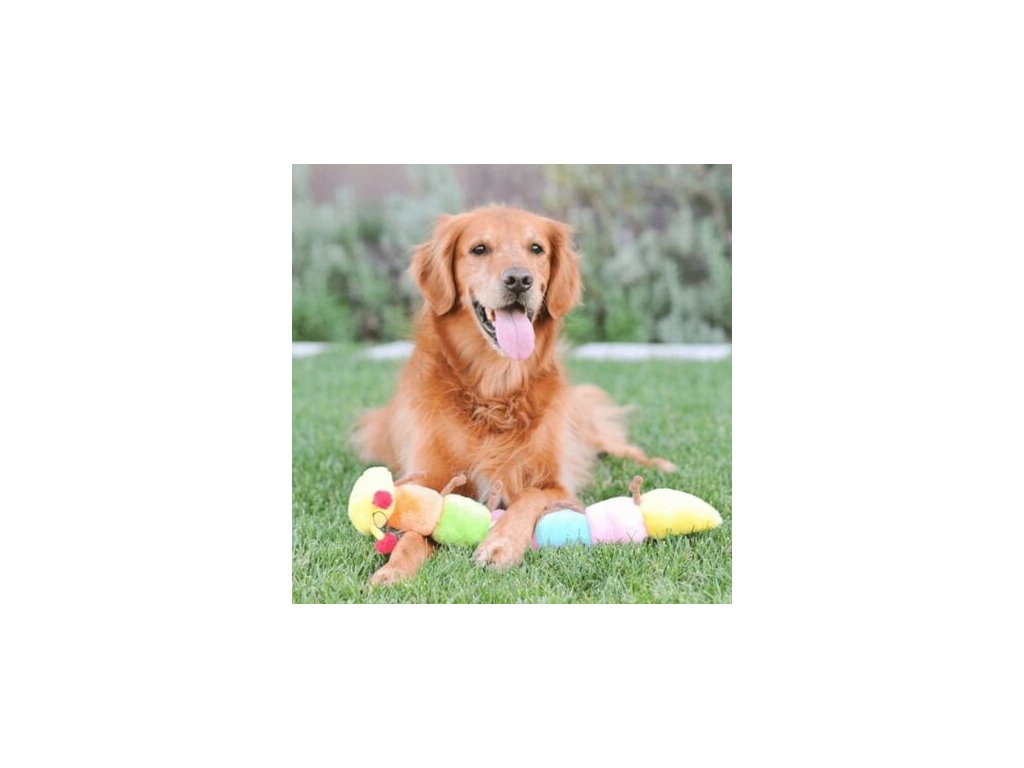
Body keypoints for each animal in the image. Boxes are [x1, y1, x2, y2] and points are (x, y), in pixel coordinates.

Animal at [354, 206, 674, 585]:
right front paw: (393, 570)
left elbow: (528, 498)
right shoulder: (429, 483)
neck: (494, 390)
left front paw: (500, 544)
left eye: (536, 249)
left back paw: (661, 464)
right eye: (479, 249)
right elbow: (416, 532)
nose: (520, 280)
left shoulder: (556, 485)